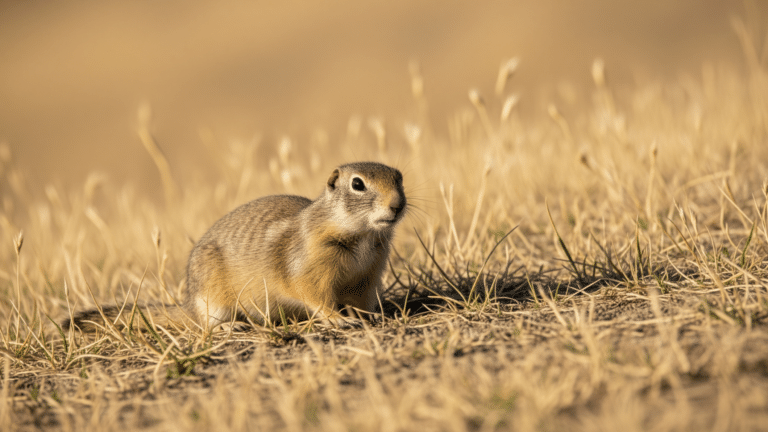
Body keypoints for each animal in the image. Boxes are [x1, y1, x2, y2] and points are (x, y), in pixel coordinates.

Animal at [64, 162, 407, 332]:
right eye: (358, 184)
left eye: (399, 178)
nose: (398, 205)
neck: (363, 234)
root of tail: (188, 304)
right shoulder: (311, 270)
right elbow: (318, 298)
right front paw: (340, 319)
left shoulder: (367, 277)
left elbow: (362, 301)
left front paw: (372, 316)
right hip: (214, 302)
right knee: (205, 327)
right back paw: (231, 329)